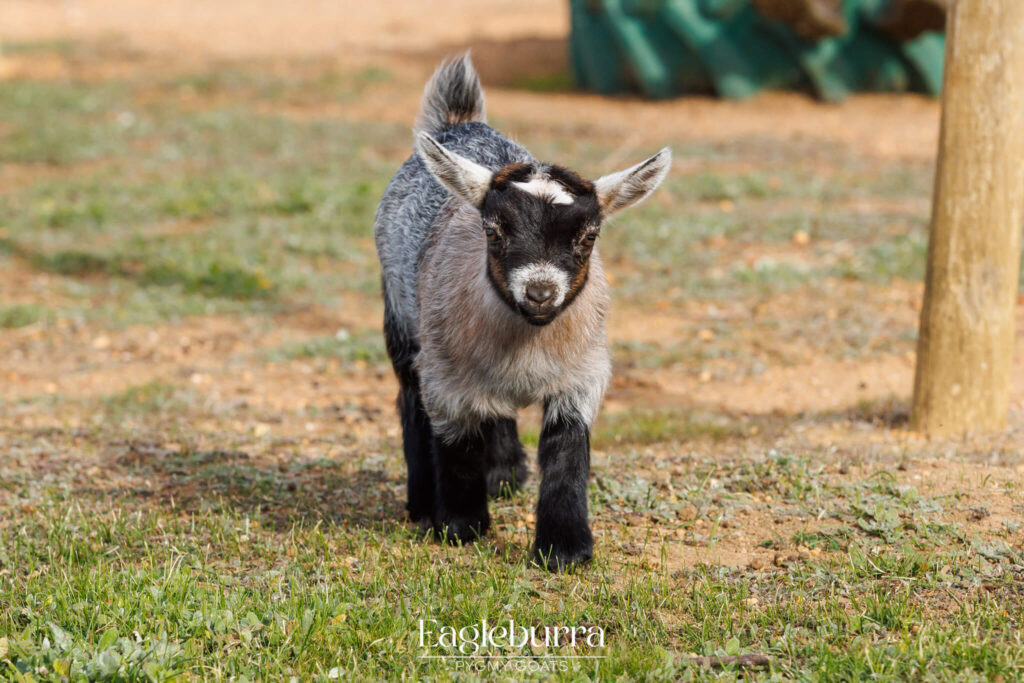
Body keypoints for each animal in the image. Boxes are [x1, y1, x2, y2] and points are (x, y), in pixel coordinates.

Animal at [374, 54, 670, 570]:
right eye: (494, 231)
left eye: (588, 236)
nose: (539, 292)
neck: (527, 350)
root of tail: (461, 123)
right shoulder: (444, 378)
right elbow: (455, 443)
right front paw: (460, 526)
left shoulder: (582, 375)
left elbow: (566, 450)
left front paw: (564, 547)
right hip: (401, 318)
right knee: (409, 400)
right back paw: (422, 503)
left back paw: (506, 473)